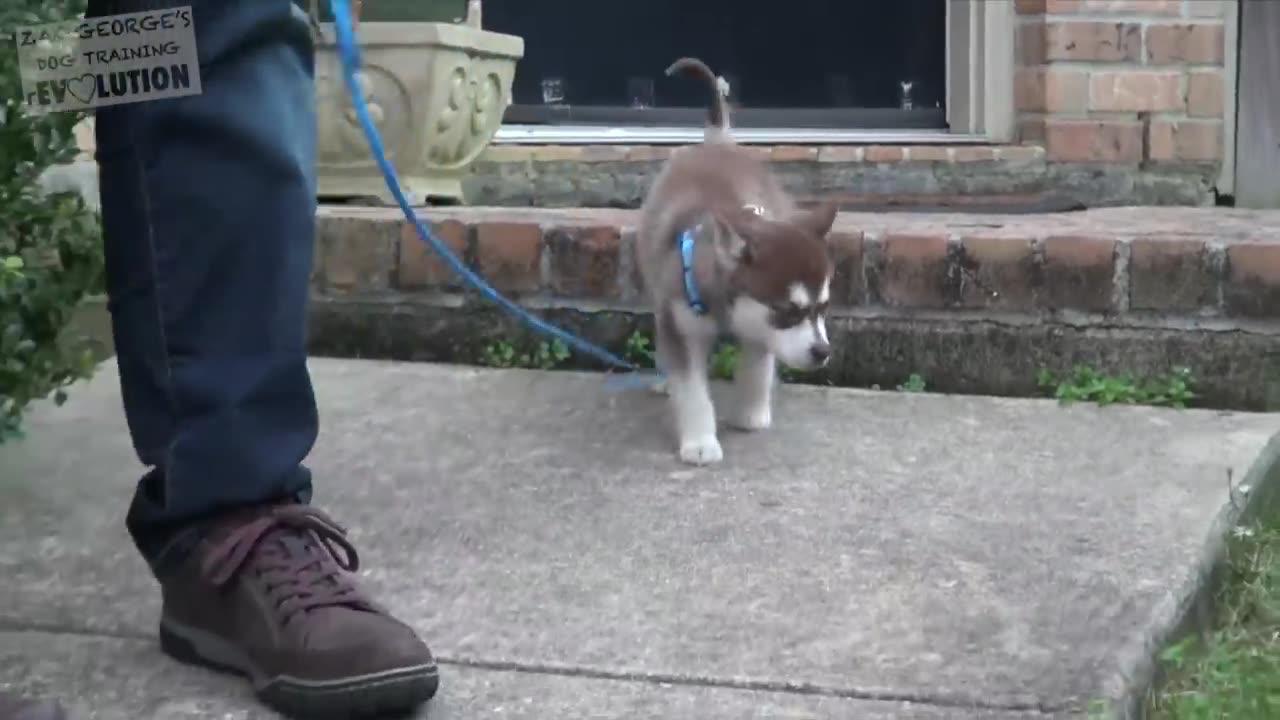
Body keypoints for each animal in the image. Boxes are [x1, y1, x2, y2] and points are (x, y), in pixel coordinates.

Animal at [634, 56, 844, 466]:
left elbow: (758, 365)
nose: (822, 352)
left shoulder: (759, 328)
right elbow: (692, 389)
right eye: (788, 311)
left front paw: (751, 413)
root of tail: (717, 140)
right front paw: (700, 441)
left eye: (823, 308)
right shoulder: (681, 325)